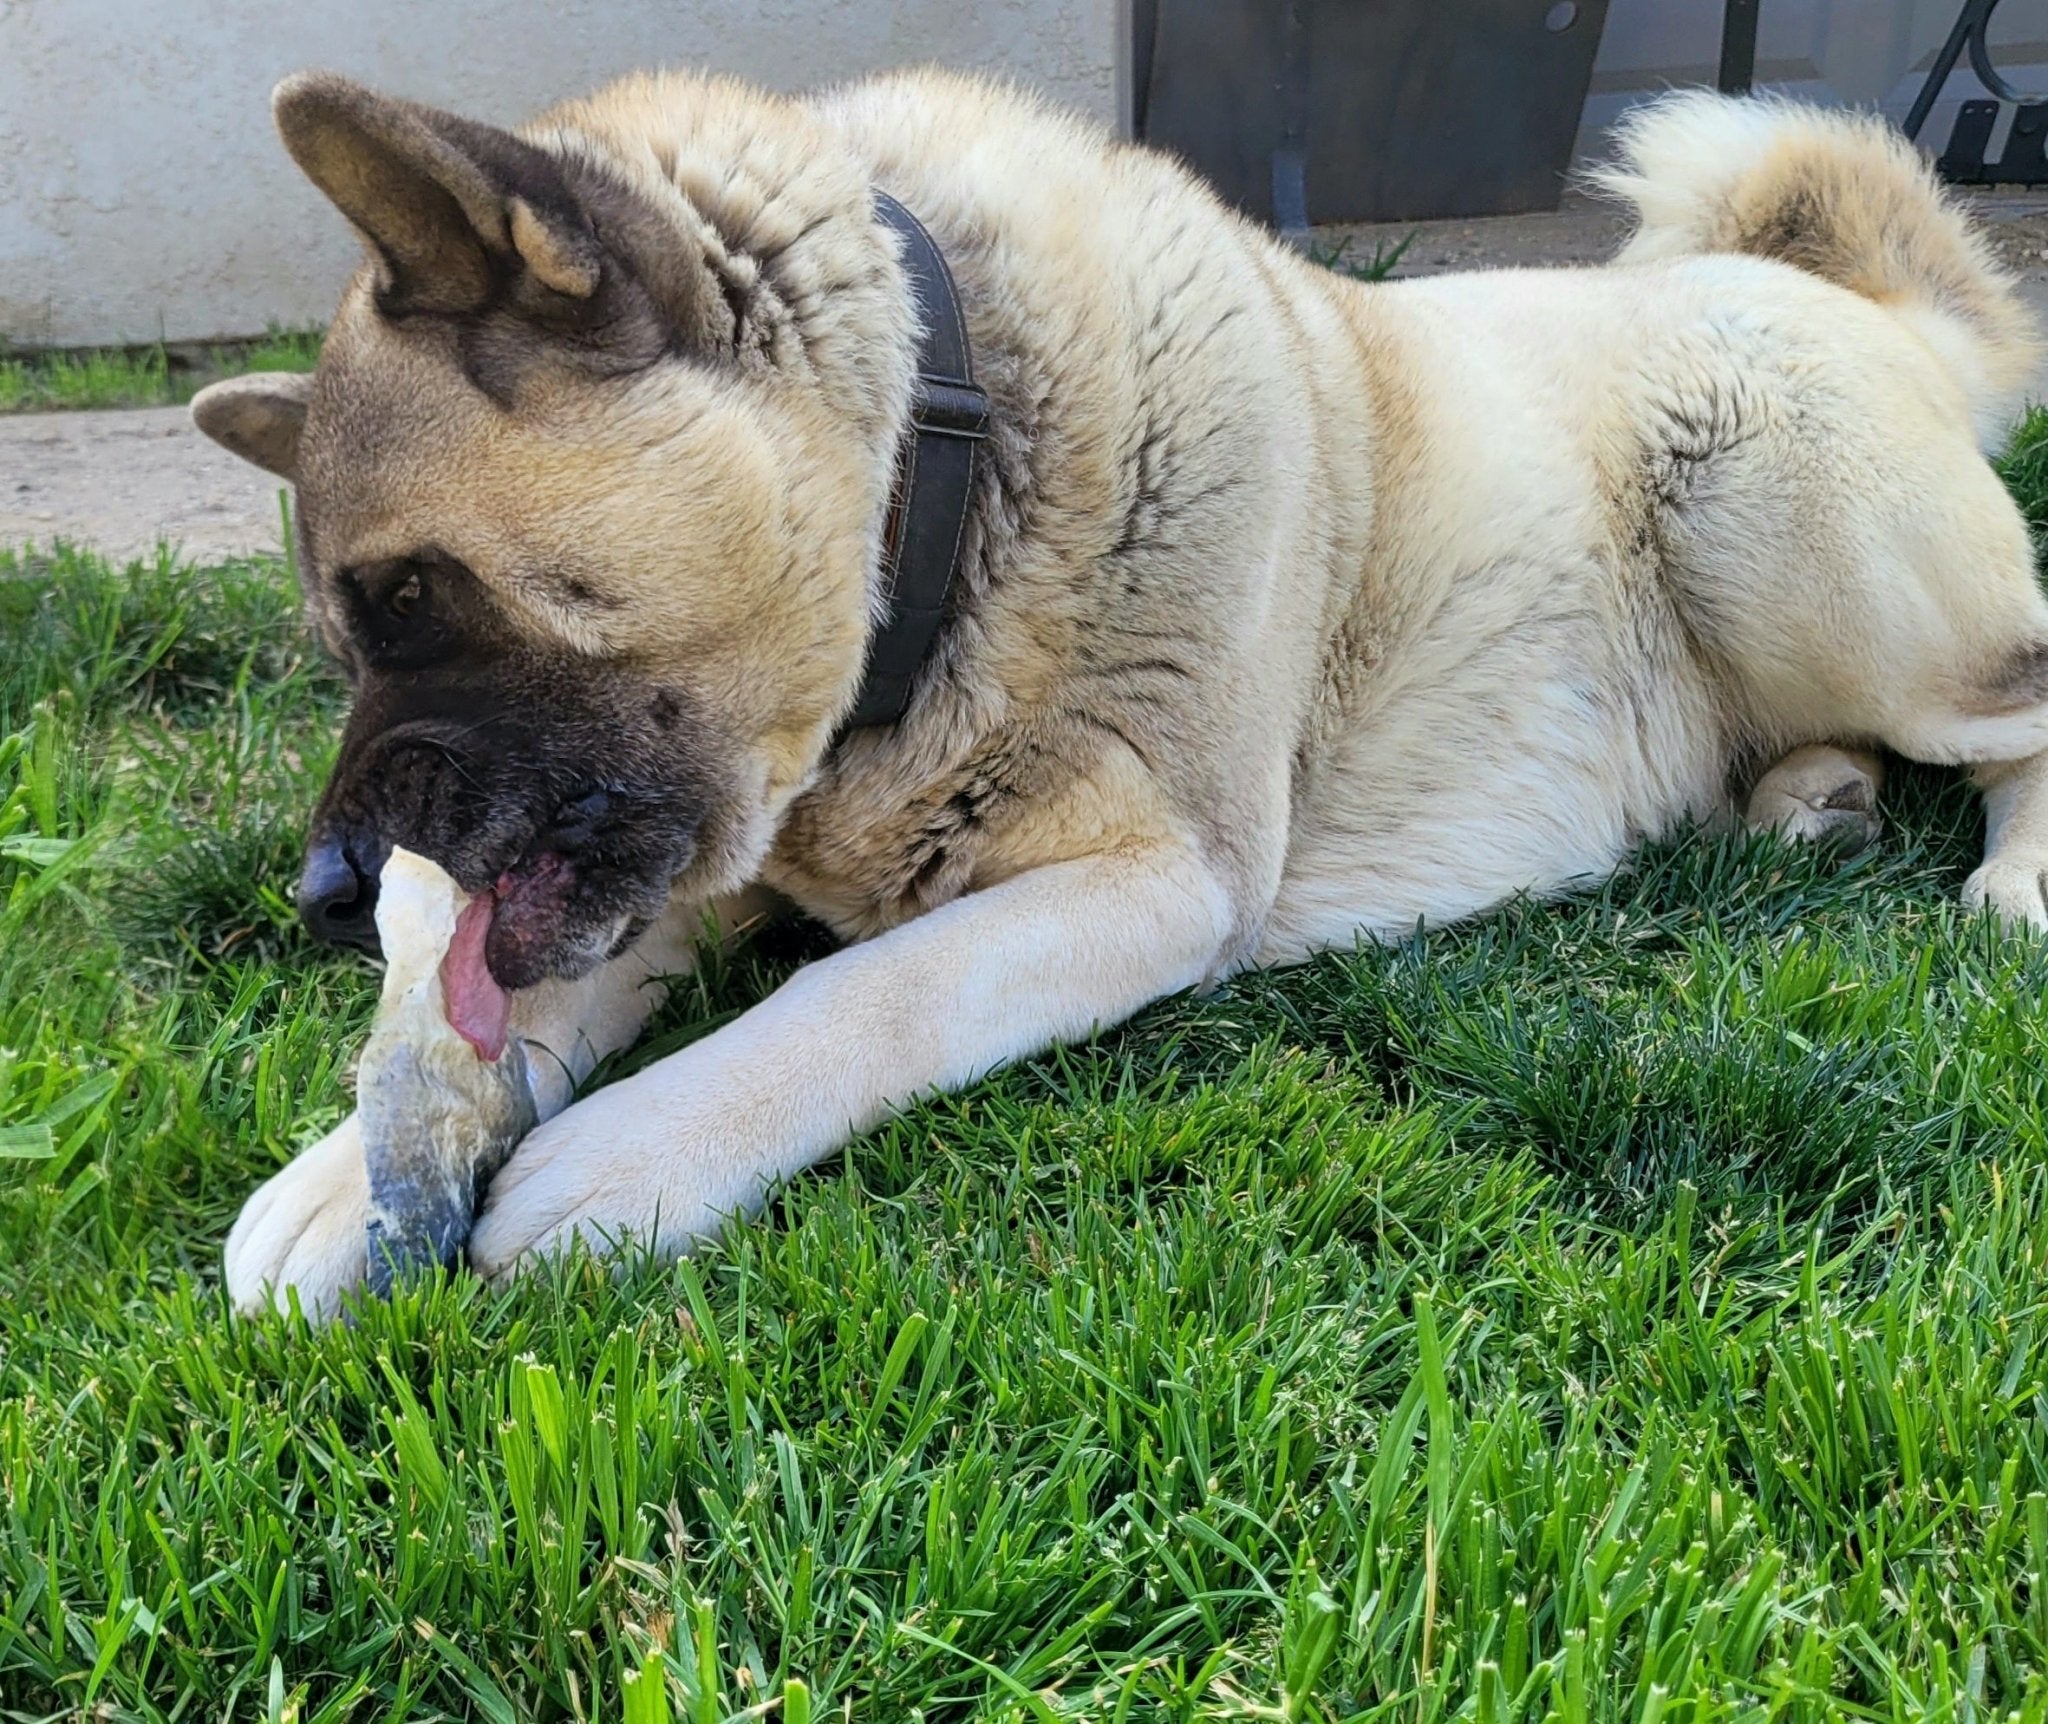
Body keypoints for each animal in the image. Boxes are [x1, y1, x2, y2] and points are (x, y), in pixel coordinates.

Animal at [195, 60, 2048, 1310]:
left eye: (412, 594)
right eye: (351, 635)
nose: (323, 894)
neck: (949, 480)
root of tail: (1856, 300)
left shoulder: (1162, 879)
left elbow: (867, 993)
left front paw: (627, 1153)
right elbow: (537, 988)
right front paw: (351, 1173)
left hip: (1771, 525)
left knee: (2021, 701)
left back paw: (2008, 878)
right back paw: (1810, 798)